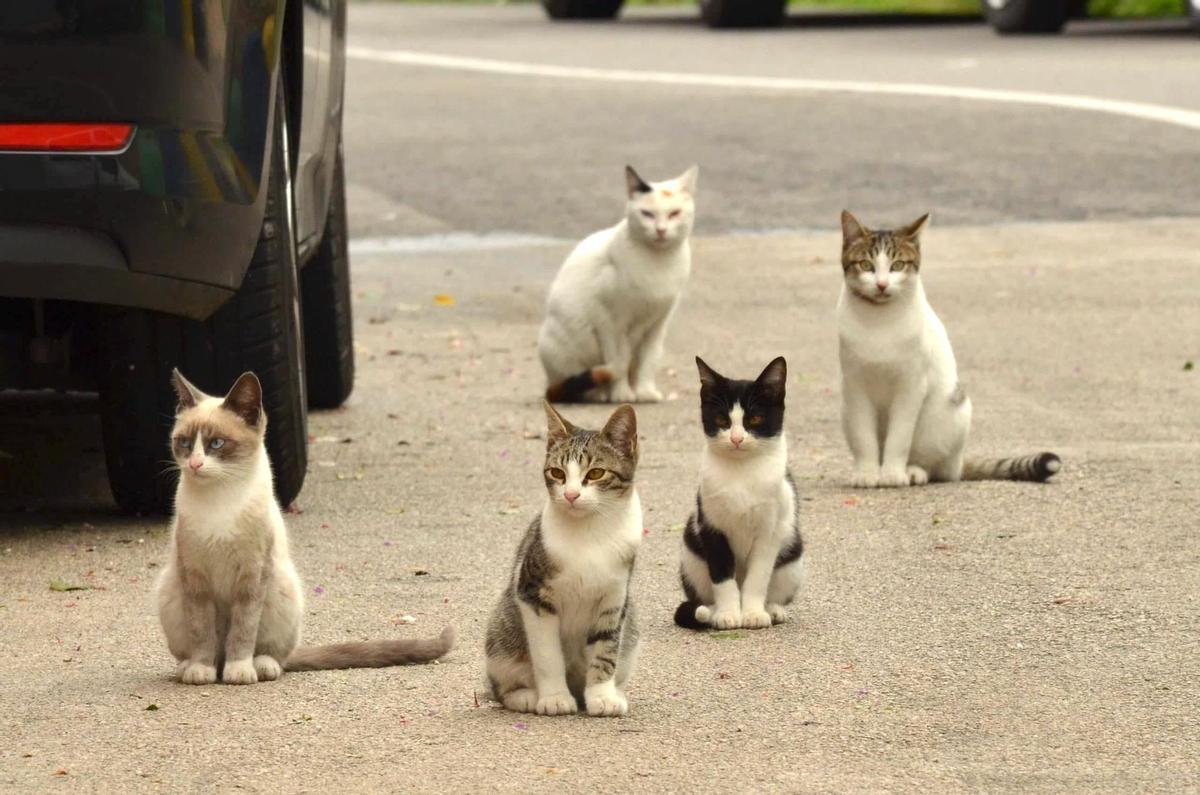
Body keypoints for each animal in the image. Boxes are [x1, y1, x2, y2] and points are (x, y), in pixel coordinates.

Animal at [156, 369, 453, 686]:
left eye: (216, 444)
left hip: (281, 588)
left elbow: (243, 631)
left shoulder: (252, 576)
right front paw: (201, 669)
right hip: (170, 590)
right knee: (208, 648)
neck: (219, 500)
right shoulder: (195, 578)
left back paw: (259, 667)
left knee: (275, 654)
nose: (195, 464)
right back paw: (192, 667)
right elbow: (201, 631)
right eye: (184, 442)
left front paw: (239, 671)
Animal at [484, 401, 643, 720]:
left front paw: (602, 696)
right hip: (501, 635)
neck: (591, 532)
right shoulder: (533, 594)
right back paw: (525, 696)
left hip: (631, 628)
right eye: (557, 472)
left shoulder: (614, 599)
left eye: (596, 473)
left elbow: (606, 650)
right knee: (501, 686)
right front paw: (555, 698)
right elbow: (548, 655)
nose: (570, 494)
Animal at [540, 166, 700, 405]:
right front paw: (621, 393)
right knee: (577, 384)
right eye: (647, 214)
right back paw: (599, 393)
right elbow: (619, 361)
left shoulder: (658, 323)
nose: (661, 230)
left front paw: (645, 391)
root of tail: (548, 383)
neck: (658, 263)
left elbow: (648, 360)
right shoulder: (611, 322)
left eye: (674, 213)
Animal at [676, 357, 806, 634]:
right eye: (721, 420)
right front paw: (728, 614)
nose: (736, 439)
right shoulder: (711, 526)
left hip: (793, 553)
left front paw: (753, 614)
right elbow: (722, 575)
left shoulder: (770, 530)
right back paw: (712, 611)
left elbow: (758, 577)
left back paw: (773, 609)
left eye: (755, 419)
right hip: (691, 551)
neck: (742, 473)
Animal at [835, 208, 1060, 489]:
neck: (879, 320)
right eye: (866, 265)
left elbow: (899, 437)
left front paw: (893, 473)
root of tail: (960, 462)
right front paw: (867, 473)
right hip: (845, 410)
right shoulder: (855, 386)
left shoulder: (911, 385)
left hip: (949, 414)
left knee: (938, 467)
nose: (882, 284)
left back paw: (914, 471)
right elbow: (864, 437)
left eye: (897, 265)